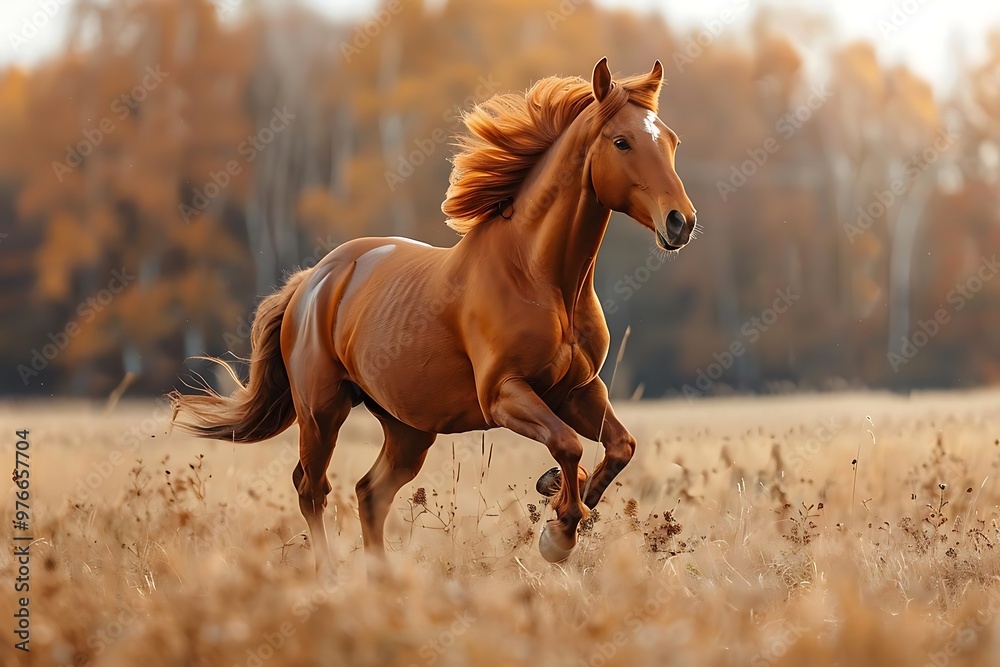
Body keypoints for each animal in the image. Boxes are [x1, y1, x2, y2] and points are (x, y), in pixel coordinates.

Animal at [169, 57, 697, 572]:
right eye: (622, 141)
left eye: (672, 140)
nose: (681, 222)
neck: (540, 279)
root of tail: (312, 282)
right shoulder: (503, 394)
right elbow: (568, 445)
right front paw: (558, 533)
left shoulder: (578, 391)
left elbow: (619, 447)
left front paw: (560, 498)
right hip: (321, 411)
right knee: (312, 488)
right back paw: (331, 578)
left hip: (408, 429)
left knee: (369, 494)